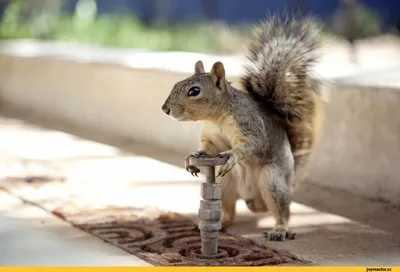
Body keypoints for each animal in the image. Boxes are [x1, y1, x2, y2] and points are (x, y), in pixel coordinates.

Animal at [161, 15, 324, 240]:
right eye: (176, 84)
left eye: (194, 91)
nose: (165, 109)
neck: (217, 118)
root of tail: (253, 199)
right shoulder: (212, 137)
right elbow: (208, 148)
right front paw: (193, 156)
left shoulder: (249, 123)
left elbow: (253, 142)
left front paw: (232, 155)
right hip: (226, 184)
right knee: (229, 210)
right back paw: (221, 222)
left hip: (272, 181)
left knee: (283, 210)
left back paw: (279, 229)